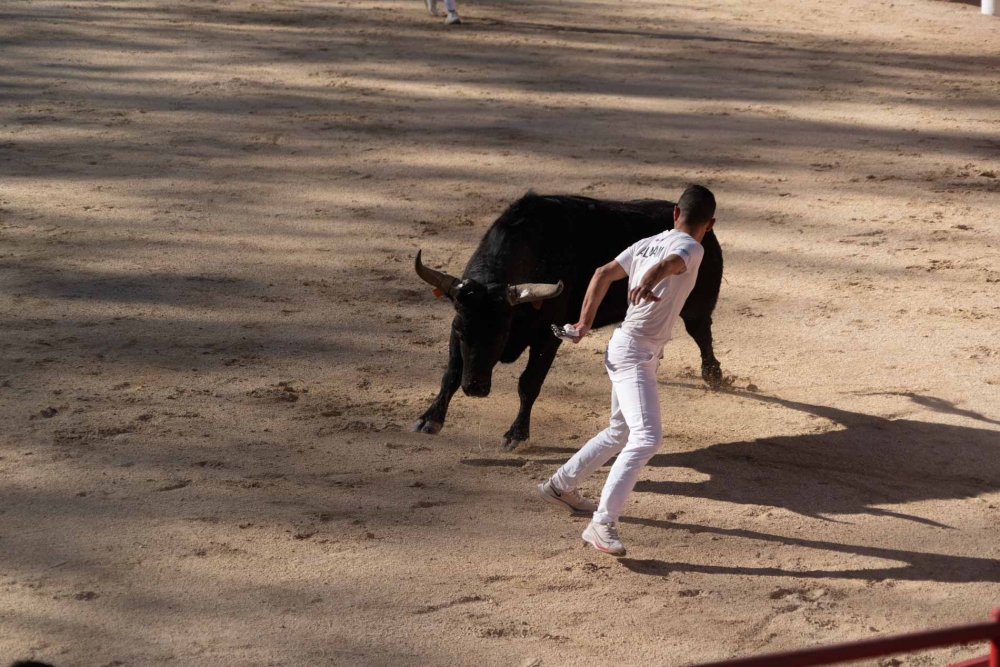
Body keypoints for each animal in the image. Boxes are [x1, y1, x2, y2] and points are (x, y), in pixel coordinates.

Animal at [410, 194, 724, 454]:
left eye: (502, 333)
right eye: (462, 332)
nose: (475, 387)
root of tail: (705, 231)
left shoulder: (548, 337)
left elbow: (529, 382)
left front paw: (516, 435)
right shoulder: (458, 324)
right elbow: (451, 372)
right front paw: (430, 419)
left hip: (696, 305)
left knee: (701, 332)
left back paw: (713, 375)